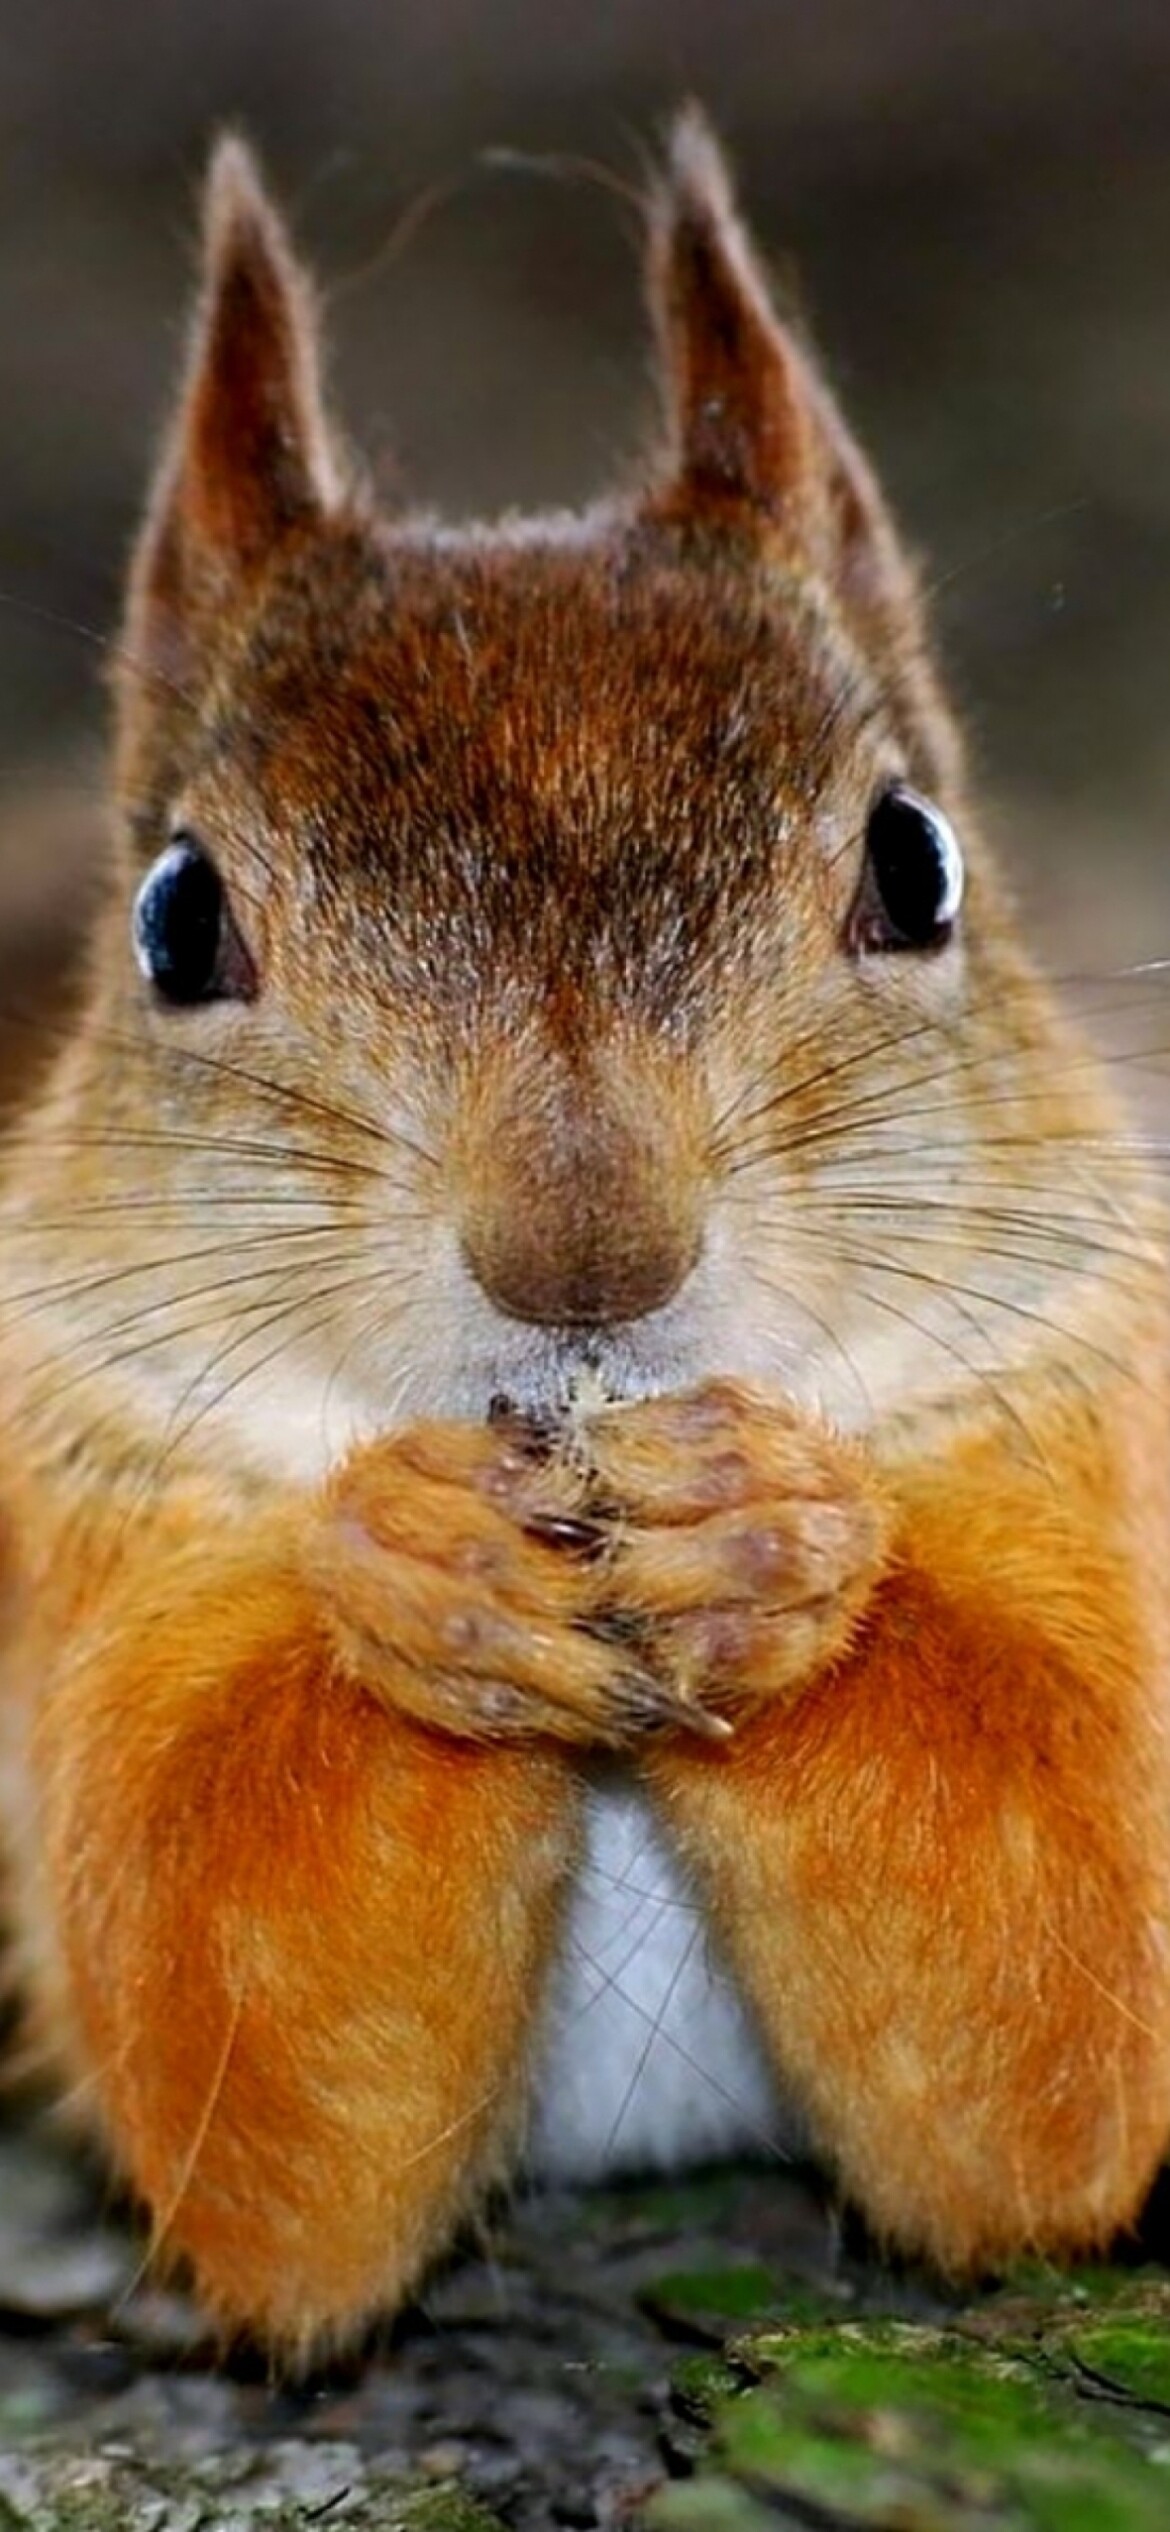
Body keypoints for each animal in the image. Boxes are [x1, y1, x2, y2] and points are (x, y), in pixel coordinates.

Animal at [0, 105, 1169, 2366]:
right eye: (177, 919)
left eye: (918, 864)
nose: (586, 1259)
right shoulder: (85, 1517)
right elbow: (238, 2063)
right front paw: (415, 1571)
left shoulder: (1089, 1426)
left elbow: (1065, 2010)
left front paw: (775, 1541)